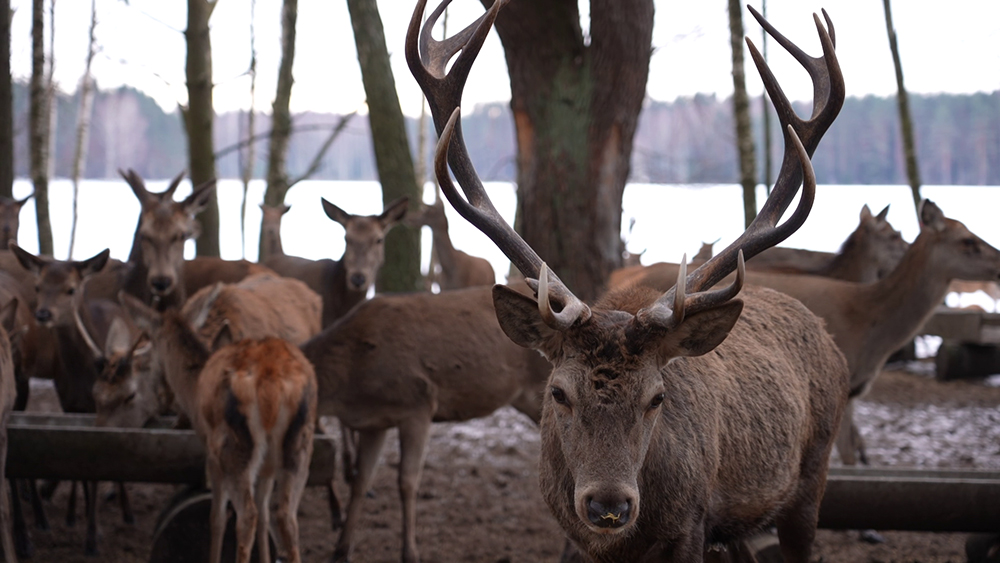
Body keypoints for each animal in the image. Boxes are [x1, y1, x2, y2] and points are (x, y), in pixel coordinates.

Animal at [121, 294, 316, 563]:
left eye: (150, 338)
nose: (140, 356)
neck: (193, 391)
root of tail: (272, 383)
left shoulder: (211, 456)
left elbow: (217, 517)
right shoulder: (266, 467)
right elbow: (266, 515)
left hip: (233, 449)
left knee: (247, 516)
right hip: (300, 447)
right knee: (286, 516)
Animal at [410, 4, 848, 563]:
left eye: (657, 397)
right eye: (558, 393)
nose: (608, 505)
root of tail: (826, 336)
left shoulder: (690, 527)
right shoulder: (573, 536)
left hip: (811, 478)